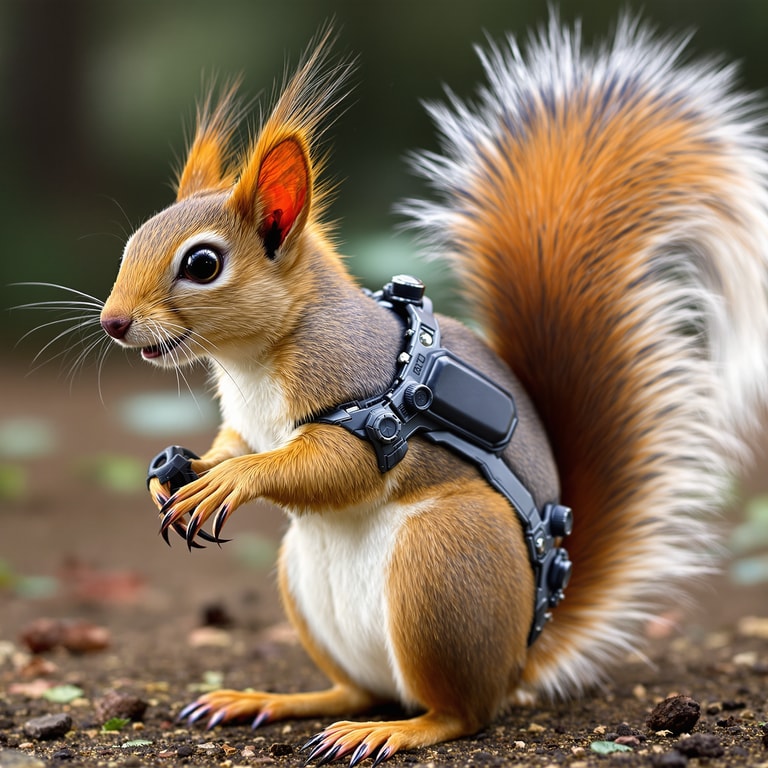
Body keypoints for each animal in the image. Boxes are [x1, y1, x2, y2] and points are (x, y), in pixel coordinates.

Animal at [99, 17, 768, 766]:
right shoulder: (247, 423)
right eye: (135, 239)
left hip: (440, 570)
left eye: (203, 263)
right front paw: (177, 473)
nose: (112, 322)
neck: (251, 363)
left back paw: (394, 729)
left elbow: (327, 466)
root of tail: (520, 658)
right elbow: (232, 444)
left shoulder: (367, 411)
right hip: (307, 586)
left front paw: (228, 482)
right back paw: (268, 699)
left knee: (459, 712)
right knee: (354, 690)